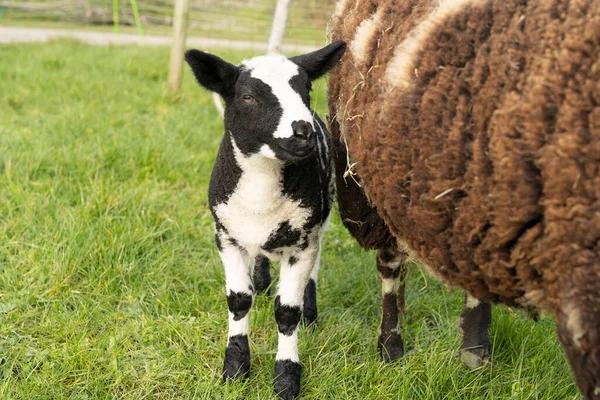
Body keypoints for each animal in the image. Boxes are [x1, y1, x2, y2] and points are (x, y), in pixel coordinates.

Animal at [186, 41, 346, 400]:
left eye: (306, 89)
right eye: (248, 97)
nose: (304, 132)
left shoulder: (302, 242)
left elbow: (287, 311)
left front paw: (286, 377)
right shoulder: (226, 236)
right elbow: (238, 299)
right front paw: (235, 368)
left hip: (322, 216)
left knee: (314, 268)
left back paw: (310, 316)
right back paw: (260, 281)